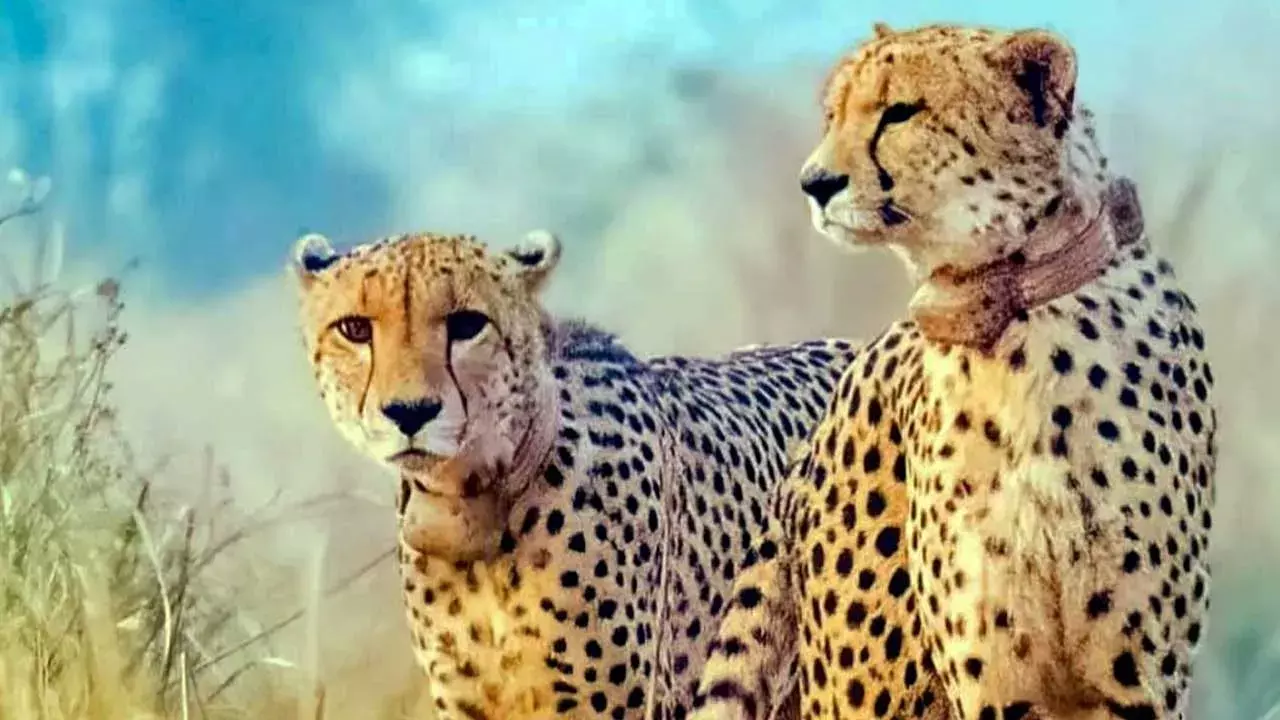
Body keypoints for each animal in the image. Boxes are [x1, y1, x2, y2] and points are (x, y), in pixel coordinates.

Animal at [690, 22, 1218, 720]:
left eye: (900, 112)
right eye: (834, 115)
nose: (814, 182)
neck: (1013, 315)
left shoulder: (1140, 681)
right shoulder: (993, 685)